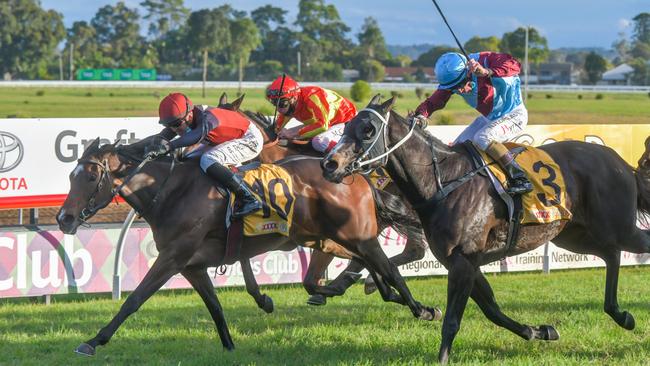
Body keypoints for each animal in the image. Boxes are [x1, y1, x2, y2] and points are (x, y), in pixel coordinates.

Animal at [58, 136, 438, 356]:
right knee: (360, 265)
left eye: (90, 176)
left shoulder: (172, 257)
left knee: (386, 265)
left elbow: (134, 299)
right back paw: (365, 288)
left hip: (356, 234)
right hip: (327, 237)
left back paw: (420, 307)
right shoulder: (192, 265)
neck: (170, 191)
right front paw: (229, 345)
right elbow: (214, 307)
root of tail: (353, 174)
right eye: (70, 177)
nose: (64, 218)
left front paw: (94, 341)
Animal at [320, 96, 650, 364]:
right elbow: (492, 309)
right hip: (575, 235)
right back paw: (621, 314)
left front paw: (442, 358)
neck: (444, 182)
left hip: (617, 227)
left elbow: (453, 319)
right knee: (610, 255)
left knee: (626, 248)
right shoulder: (464, 261)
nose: (329, 164)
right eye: (347, 125)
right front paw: (539, 331)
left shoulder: (464, 261)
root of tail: (620, 161)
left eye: (368, 130)